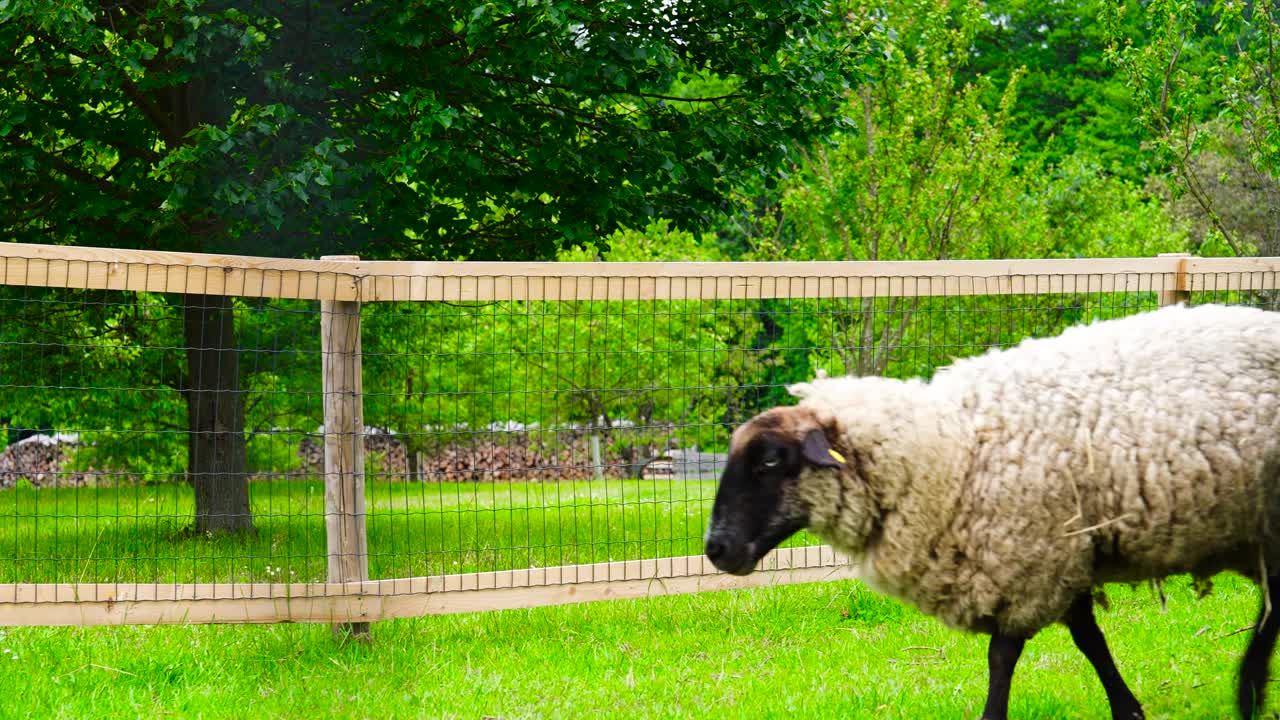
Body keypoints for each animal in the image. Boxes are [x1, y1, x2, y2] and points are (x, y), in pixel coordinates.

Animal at [706, 302, 1280, 717]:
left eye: (770, 461)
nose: (716, 549)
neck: (947, 450)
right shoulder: (1060, 552)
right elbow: (1089, 639)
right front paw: (1128, 708)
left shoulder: (1030, 559)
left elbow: (1003, 657)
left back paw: (1249, 692)